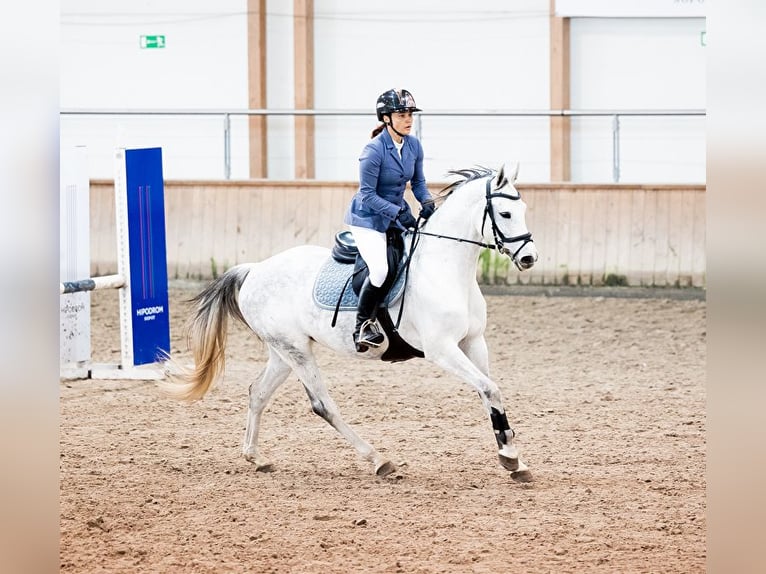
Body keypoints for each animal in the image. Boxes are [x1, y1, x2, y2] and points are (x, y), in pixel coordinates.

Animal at [164, 164, 540, 484]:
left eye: (523, 210)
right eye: (505, 214)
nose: (529, 258)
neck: (445, 269)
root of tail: (254, 269)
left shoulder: (473, 341)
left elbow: (489, 391)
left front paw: (513, 458)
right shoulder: (442, 349)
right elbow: (489, 388)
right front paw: (510, 458)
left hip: (282, 352)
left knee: (258, 393)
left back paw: (256, 458)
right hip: (296, 350)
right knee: (322, 405)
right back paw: (378, 460)